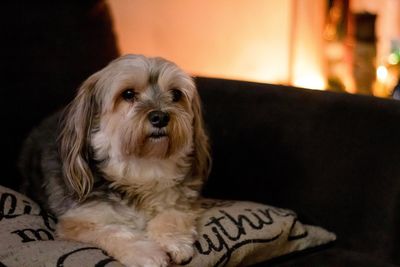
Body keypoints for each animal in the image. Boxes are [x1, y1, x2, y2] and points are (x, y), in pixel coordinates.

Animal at [18, 54, 212, 267]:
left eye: (176, 94)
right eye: (128, 94)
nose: (160, 117)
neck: (140, 168)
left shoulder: (181, 200)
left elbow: (172, 215)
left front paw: (173, 242)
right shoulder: (79, 221)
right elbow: (114, 231)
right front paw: (146, 253)